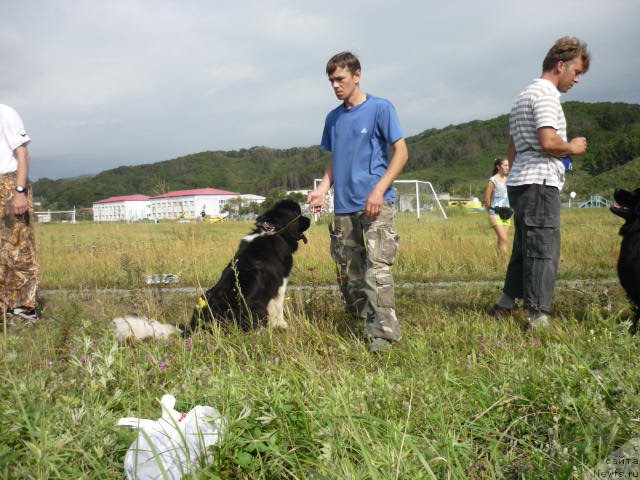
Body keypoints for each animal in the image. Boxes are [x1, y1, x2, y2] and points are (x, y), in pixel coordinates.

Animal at [184, 199, 312, 334]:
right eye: (298, 213)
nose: (309, 220)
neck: (276, 232)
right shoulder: (280, 282)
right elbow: (278, 306)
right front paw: (282, 325)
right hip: (257, 306)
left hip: (205, 296)